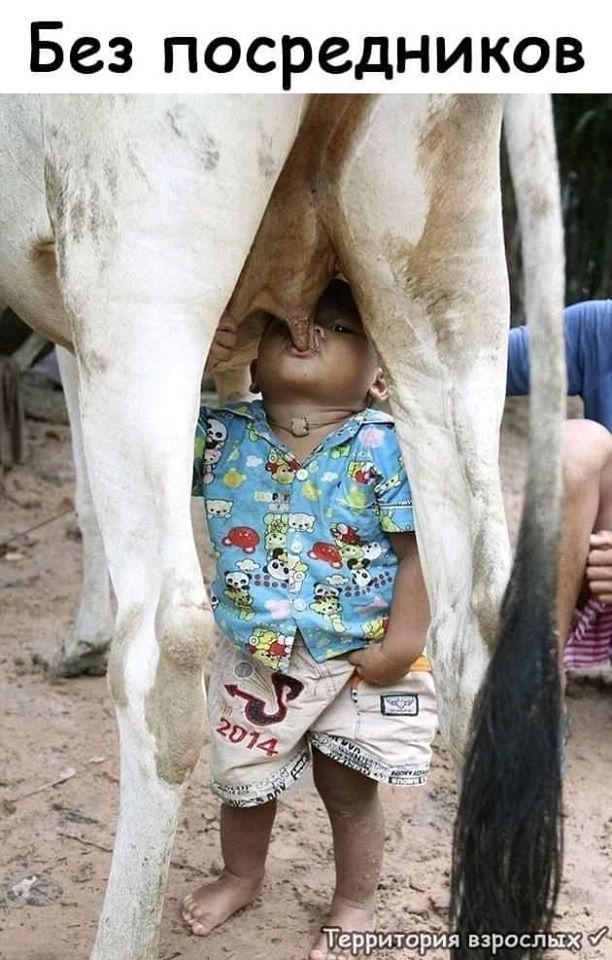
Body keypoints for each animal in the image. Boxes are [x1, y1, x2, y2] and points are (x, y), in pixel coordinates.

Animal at [0, 95, 564, 960]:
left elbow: (91, 495)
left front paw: (80, 640)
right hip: (446, 275)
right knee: (477, 625)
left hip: (136, 267)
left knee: (167, 649)